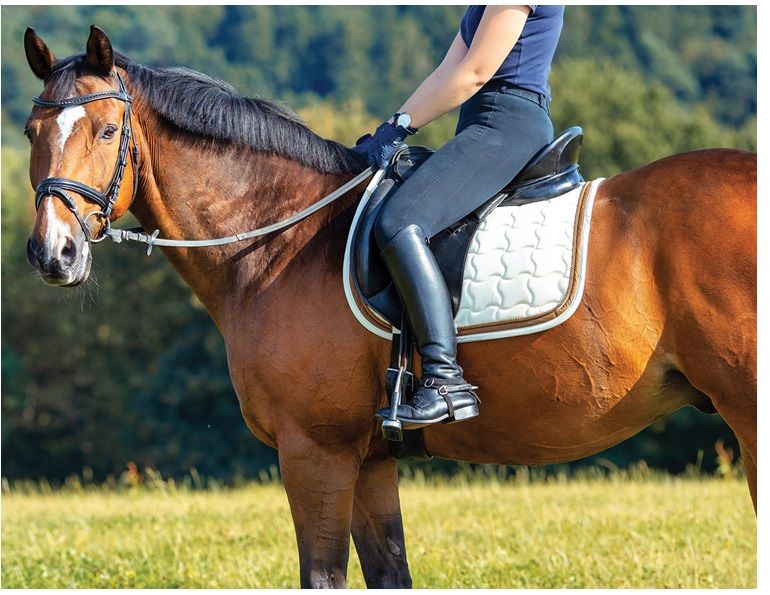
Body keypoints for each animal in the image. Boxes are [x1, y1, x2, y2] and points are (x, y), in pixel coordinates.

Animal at [23, 27, 756, 588]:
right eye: (31, 131)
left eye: (107, 130)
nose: (53, 252)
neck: (282, 237)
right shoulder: (370, 458)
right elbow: (389, 573)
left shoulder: (314, 451)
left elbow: (322, 576)